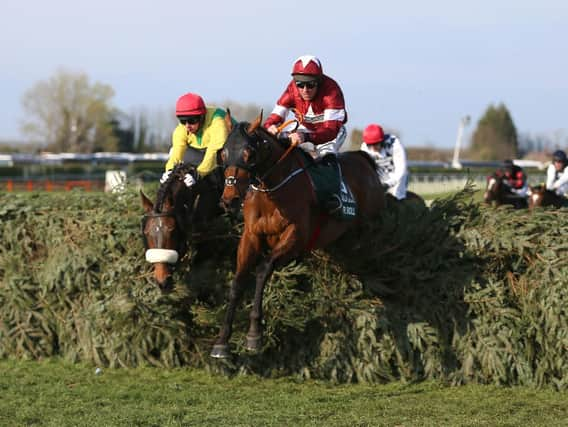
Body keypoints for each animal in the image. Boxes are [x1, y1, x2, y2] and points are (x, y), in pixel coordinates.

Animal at [211, 112, 388, 360]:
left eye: (249, 154)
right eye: (224, 153)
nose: (229, 200)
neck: (271, 191)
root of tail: (365, 161)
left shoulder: (295, 236)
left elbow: (263, 270)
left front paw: (254, 334)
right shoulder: (250, 236)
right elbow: (238, 281)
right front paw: (222, 341)